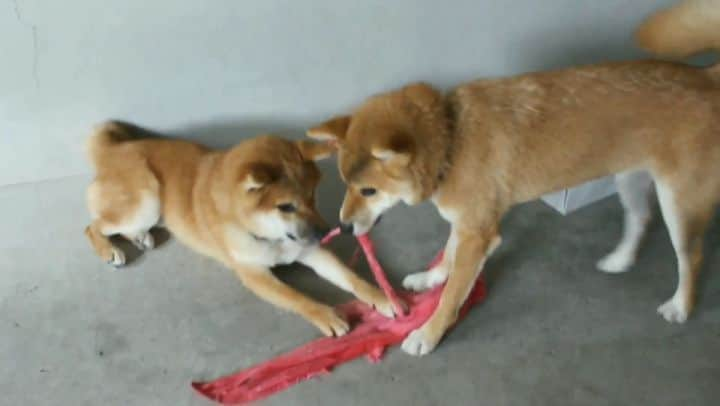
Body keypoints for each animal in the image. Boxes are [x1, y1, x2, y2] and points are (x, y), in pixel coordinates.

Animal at [86, 120, 400, 336]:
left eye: (312, 196)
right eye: (286, 206)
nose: (326, 233)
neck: (269, 236)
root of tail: (114, 149)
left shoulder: (310, 252)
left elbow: (352, 278)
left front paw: (381, 296)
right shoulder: (254, 274)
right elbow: (297, 297)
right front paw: (325, 314)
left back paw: (140, 238)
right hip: (147, 200)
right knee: (93, 225)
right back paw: (110, 249)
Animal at [308, 0, 720, 356]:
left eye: (369, 190)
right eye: (345, 183)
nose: (343, 228)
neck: (452, 139)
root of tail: (707, 77)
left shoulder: (479, 235)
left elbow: (454, 293)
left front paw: (428, 332)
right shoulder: (467, 223)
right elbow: (449, 255)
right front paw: (431, 278)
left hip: (679, 203)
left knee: (692, 256)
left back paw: (680, 306)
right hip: (629, 179)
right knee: (640, 218)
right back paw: (620, 260)